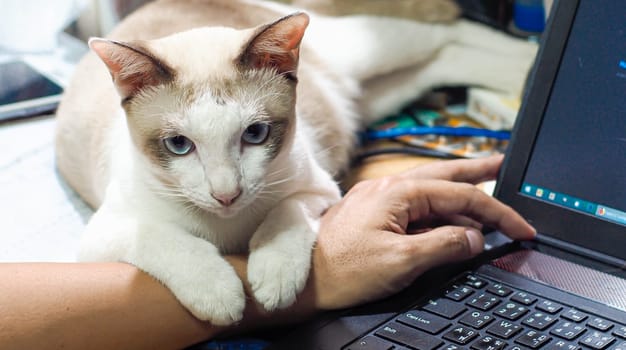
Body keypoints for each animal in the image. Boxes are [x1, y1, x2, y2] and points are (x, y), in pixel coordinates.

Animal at [56, 0, 532, 326]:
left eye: (254, 135)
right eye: (178, 145)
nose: (226, 194)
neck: (228, 228)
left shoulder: (319, 189)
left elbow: (283, 217)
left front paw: (273, 278)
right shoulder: (106, 234)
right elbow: (169, 241)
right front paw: (220, 293)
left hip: (368, 51)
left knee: (451, 33)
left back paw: (529, 68)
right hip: (383, 90)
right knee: (447, 57)